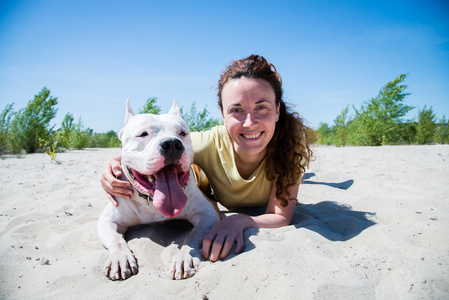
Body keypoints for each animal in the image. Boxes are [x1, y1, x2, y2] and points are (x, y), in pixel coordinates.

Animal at [97, 99, 219, 280]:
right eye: (143, 134)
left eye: (182, 133)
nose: (172, 143)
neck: (150, 199)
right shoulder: (107, 221)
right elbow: (116, 240)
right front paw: (120, 258)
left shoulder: (208, 214)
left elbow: (192, 236)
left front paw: (184, 257)